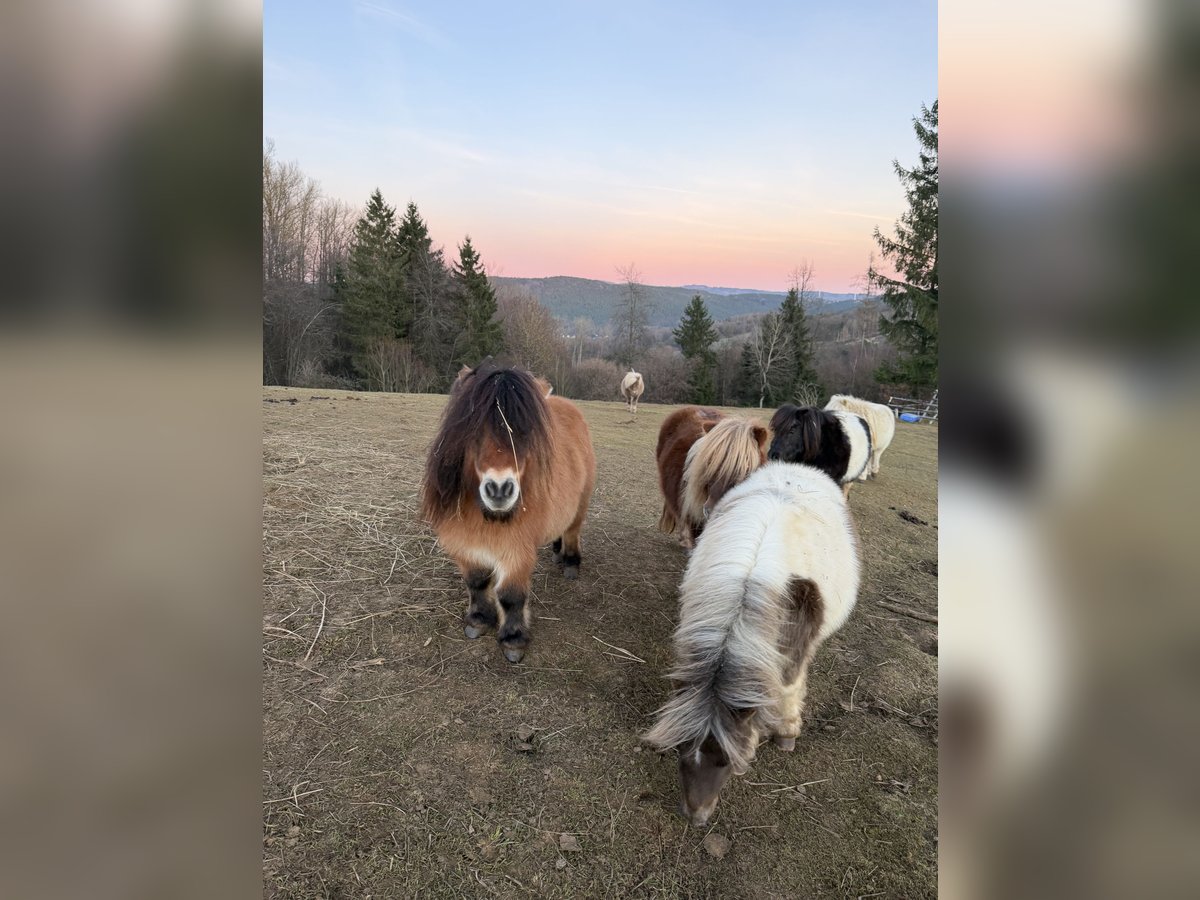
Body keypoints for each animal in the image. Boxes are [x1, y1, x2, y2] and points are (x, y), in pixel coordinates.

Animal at [421, 361, 596, 663]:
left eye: (525, 433)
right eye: (473, 429)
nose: (500, 490)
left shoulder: (517, 550)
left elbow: (511, 596)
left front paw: (513, 640)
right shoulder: (466, 546)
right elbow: (477, 582)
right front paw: (479, 620)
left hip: (580, 505)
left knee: (573, 531)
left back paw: (571, 563)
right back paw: (557, 553)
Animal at [643, 461, 860, 825]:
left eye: (726, 761)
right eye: (681, 750)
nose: (696, 817)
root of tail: (797, 468)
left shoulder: (793, 651)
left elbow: (788, 687)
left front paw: (786, 732)